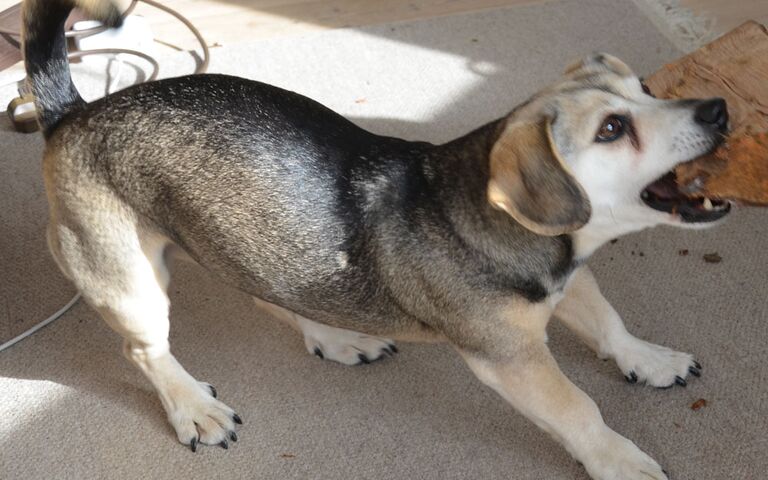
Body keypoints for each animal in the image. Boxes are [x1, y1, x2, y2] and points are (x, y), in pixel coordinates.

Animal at [22, 0, 732, 476]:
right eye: (613, 129)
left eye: (646, 88)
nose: (719, 108)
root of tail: (75, 112)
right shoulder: (512, 358)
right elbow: (580, 410)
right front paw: (622, 461)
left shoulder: (571, 278)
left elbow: (611, 325)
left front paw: (651, 361)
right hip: (129, 283)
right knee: (146, 350)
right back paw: (191, 406)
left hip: (248, 248)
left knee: (266, 294)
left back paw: (335, 337)